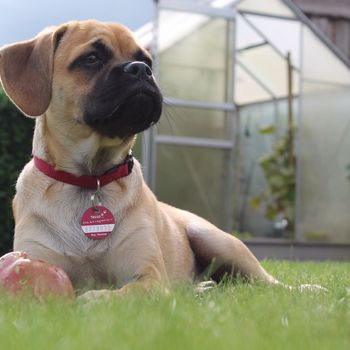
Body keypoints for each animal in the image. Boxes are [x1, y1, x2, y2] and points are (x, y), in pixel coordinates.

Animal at [0, 19, 284, 300]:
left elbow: (115, 294)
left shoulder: (148, 277)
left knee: (268, 284)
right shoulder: (39, 254)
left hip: (216, 241)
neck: (90, 179)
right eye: (91, 58)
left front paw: (93, 298)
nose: (140, 70)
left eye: (146, 60)